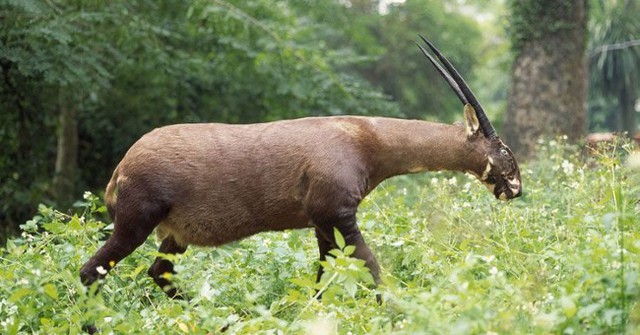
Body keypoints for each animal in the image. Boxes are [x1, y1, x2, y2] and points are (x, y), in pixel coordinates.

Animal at [79, 35, 520, 300]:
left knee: (158, 272)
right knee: (90, 272)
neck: (366, 138)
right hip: (135, 224)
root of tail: (120, 170)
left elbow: (323, 278)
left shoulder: (323, 224)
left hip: (173, 235)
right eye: (504, 150)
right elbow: (372, 269)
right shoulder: (339, 216)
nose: (516, 188)